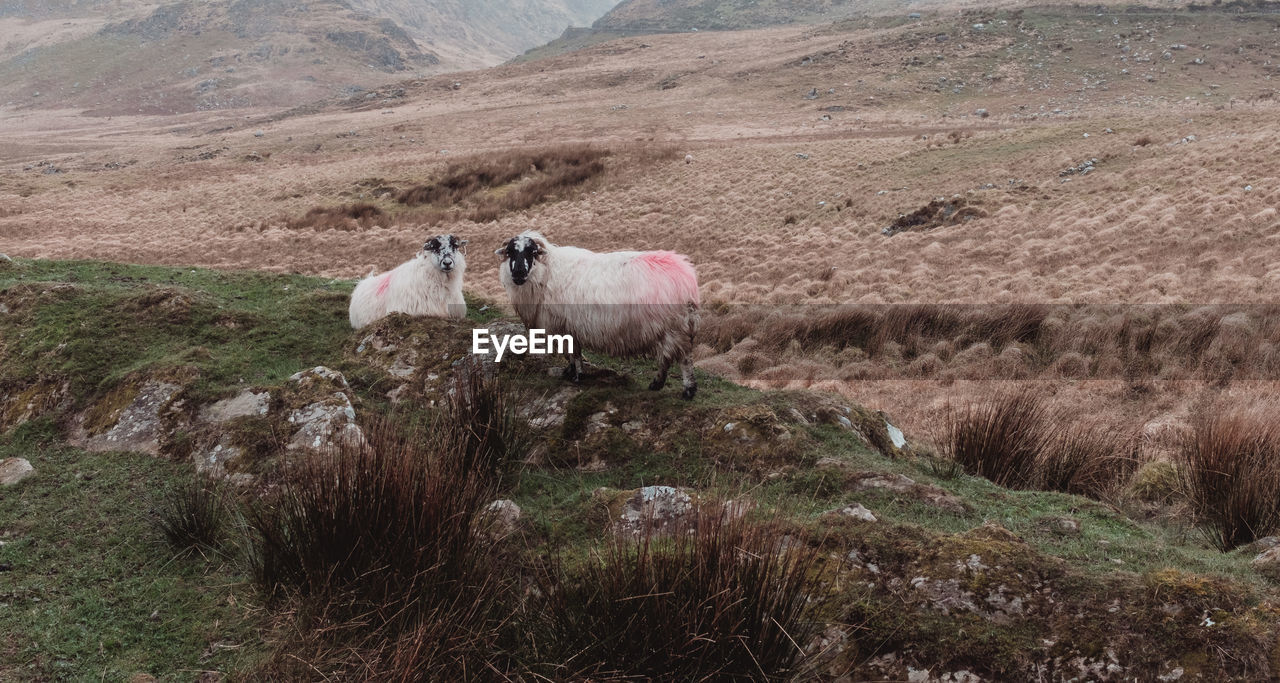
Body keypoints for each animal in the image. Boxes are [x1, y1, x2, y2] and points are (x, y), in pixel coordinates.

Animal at [496, 231, 701, 399]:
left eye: (532, 252)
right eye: (510, 252)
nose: (518, 273)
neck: (547, 273)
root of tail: (688, 277)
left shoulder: (563, 324)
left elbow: (573, 352)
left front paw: (577, 375)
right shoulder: (569, 325)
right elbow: (571, 352)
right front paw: (570, 372)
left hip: (673, 326)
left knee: (682, 358)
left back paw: (686, 390)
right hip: (669, 327)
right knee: (667, 358)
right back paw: (658, 384)